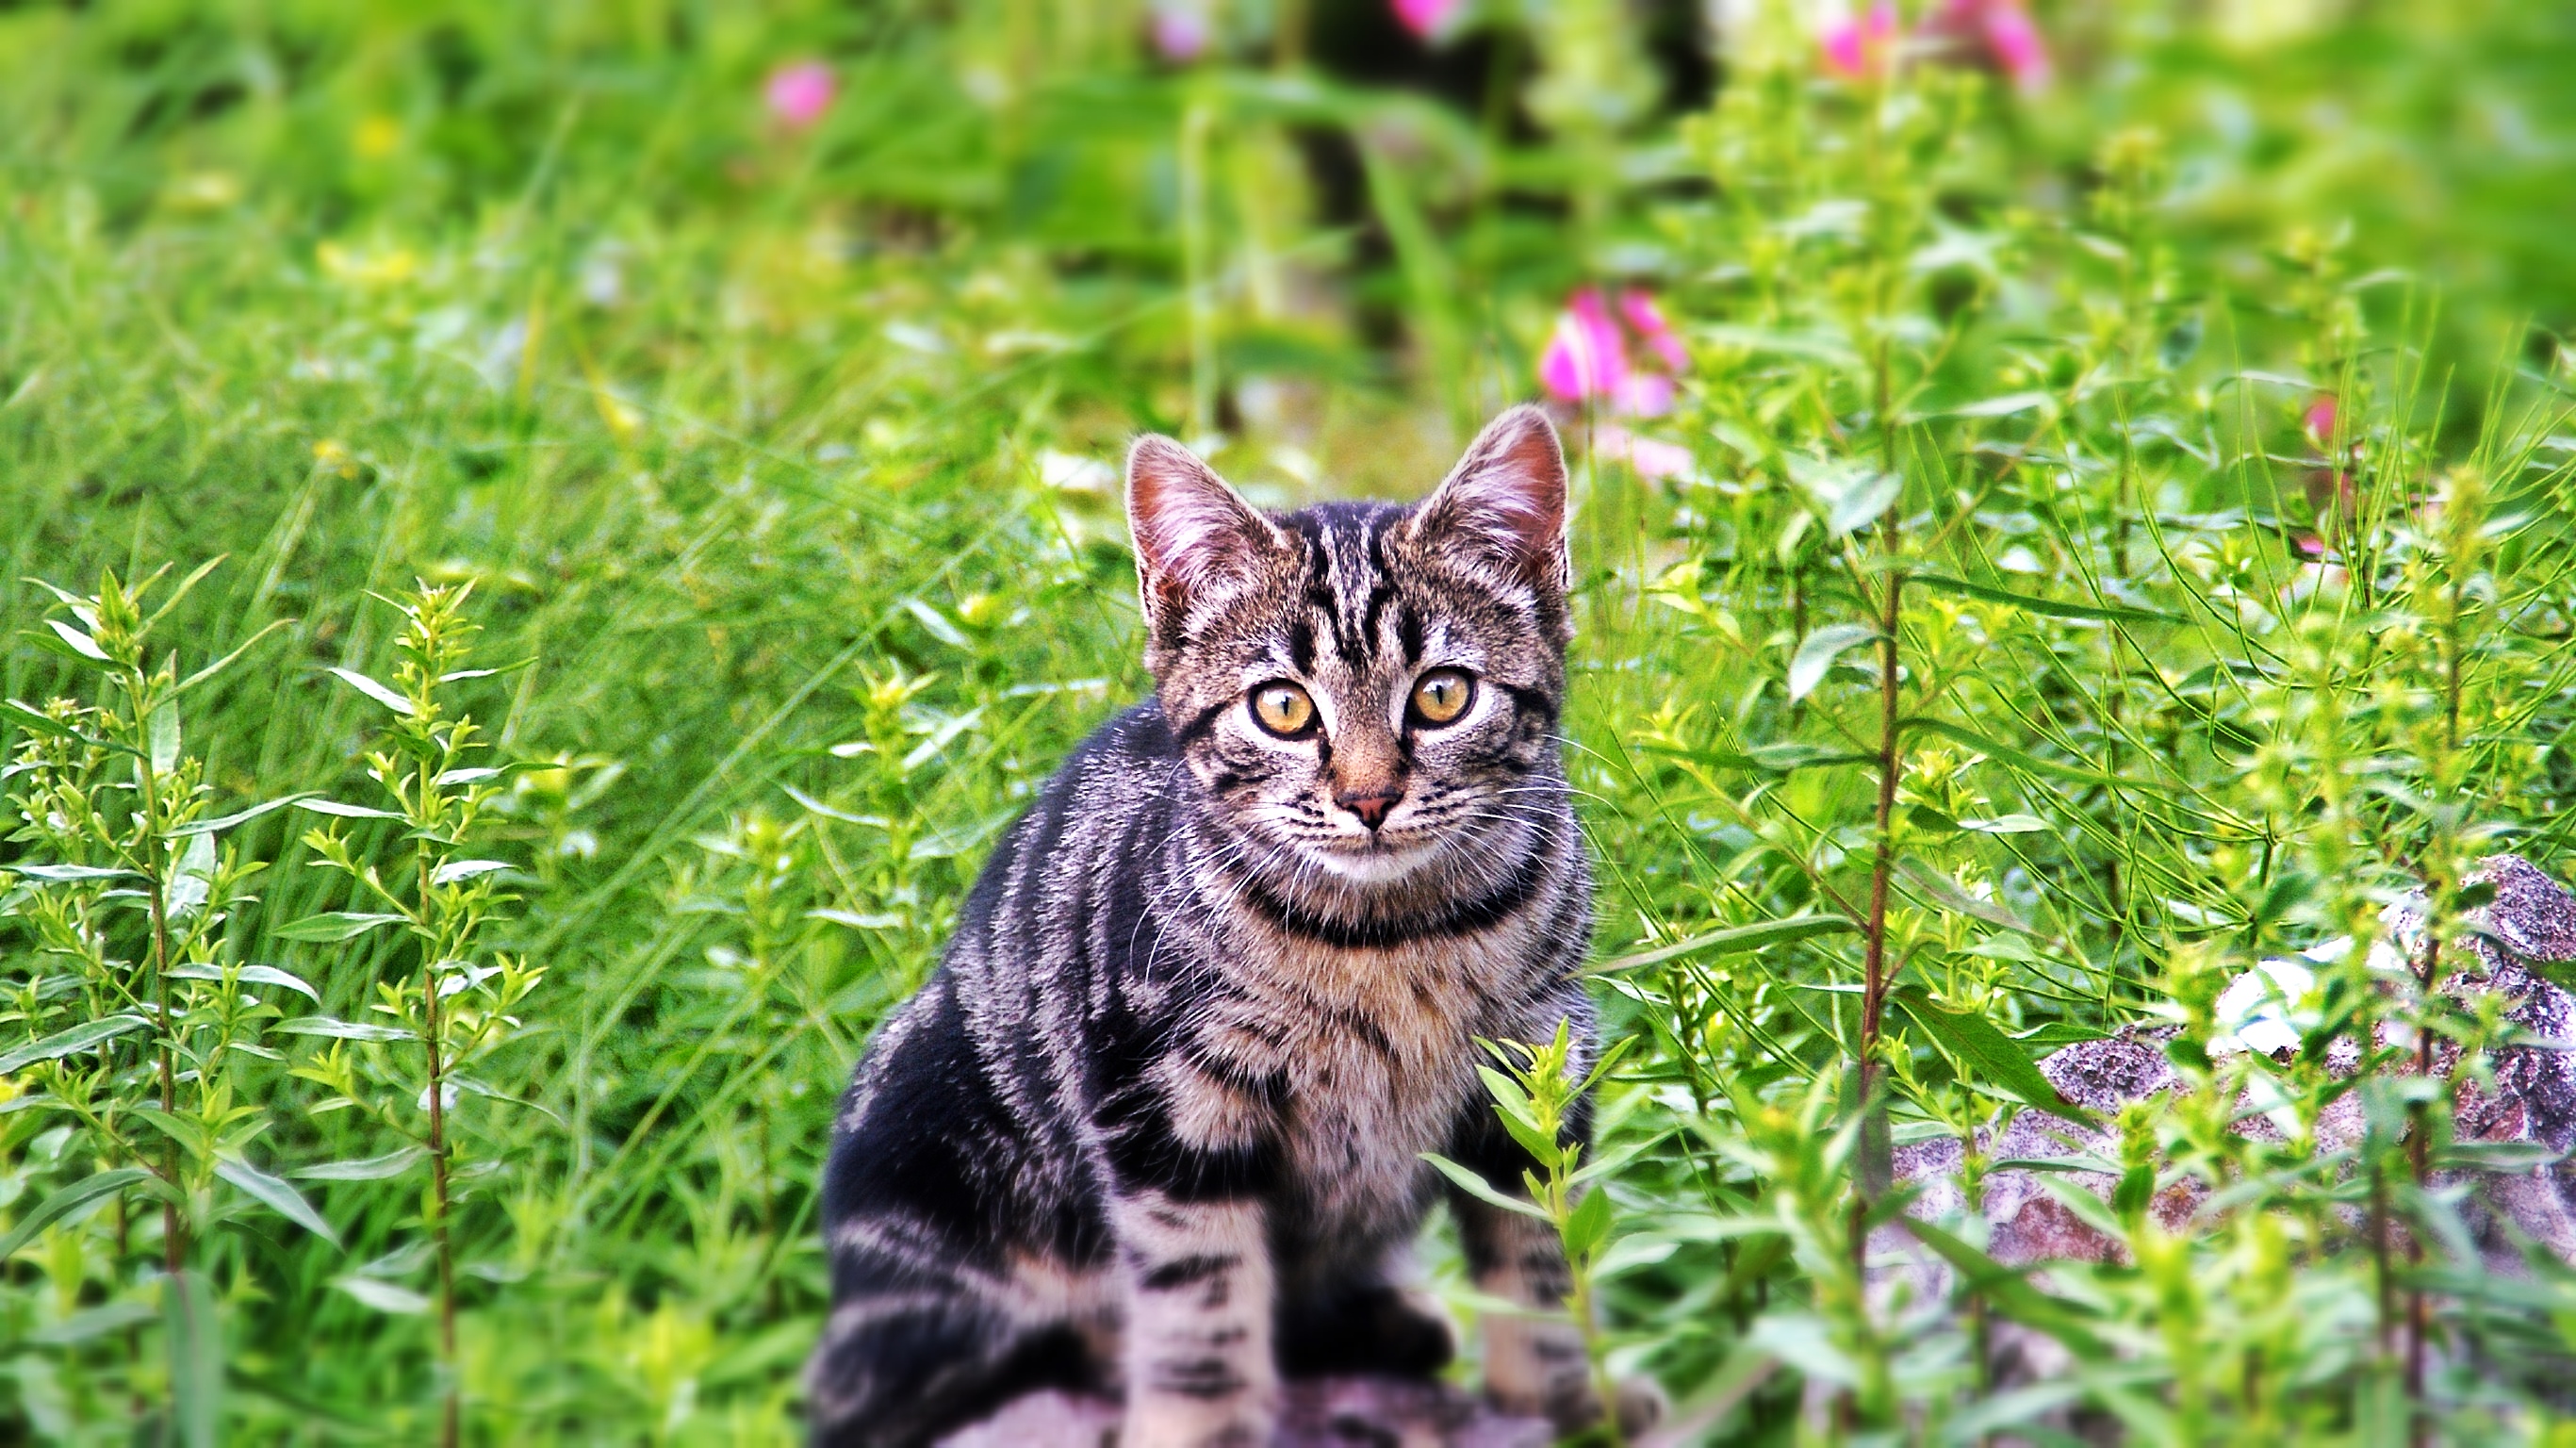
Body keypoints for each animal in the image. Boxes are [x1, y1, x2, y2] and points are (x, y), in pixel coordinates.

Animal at [803, 406, 1607, 1442]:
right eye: (1283, 708)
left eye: (1442, 694)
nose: (1368, 799)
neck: (1391, 941)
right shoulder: (1164, 1095)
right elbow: (1203, 1290)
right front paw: (1202, 1421)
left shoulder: (1539, 1059)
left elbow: (1542, 1256)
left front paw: (1568, 1395)